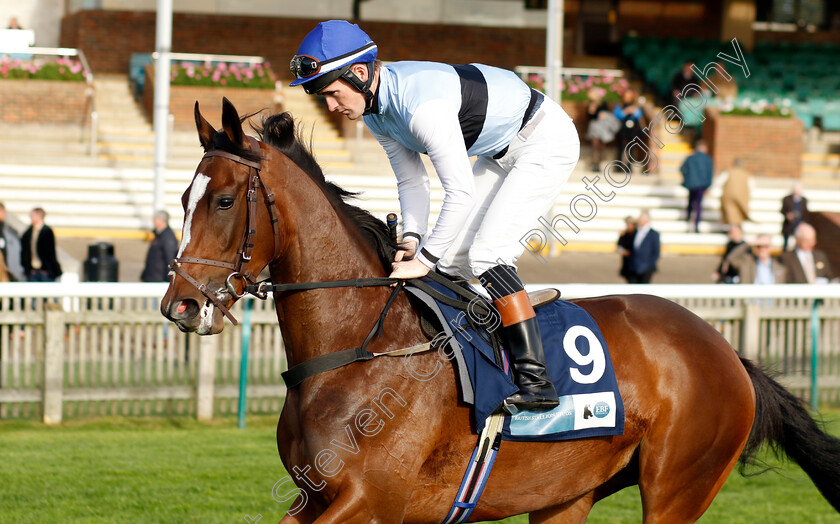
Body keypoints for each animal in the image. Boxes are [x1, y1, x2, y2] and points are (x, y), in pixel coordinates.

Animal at [159, 97, 840, 520]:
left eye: (223, 201)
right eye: (184, 198)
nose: (180, 305)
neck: (361, 347)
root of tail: (725, 350)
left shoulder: (372, 501)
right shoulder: (316, 497)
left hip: (677, 489)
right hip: (567, 495)